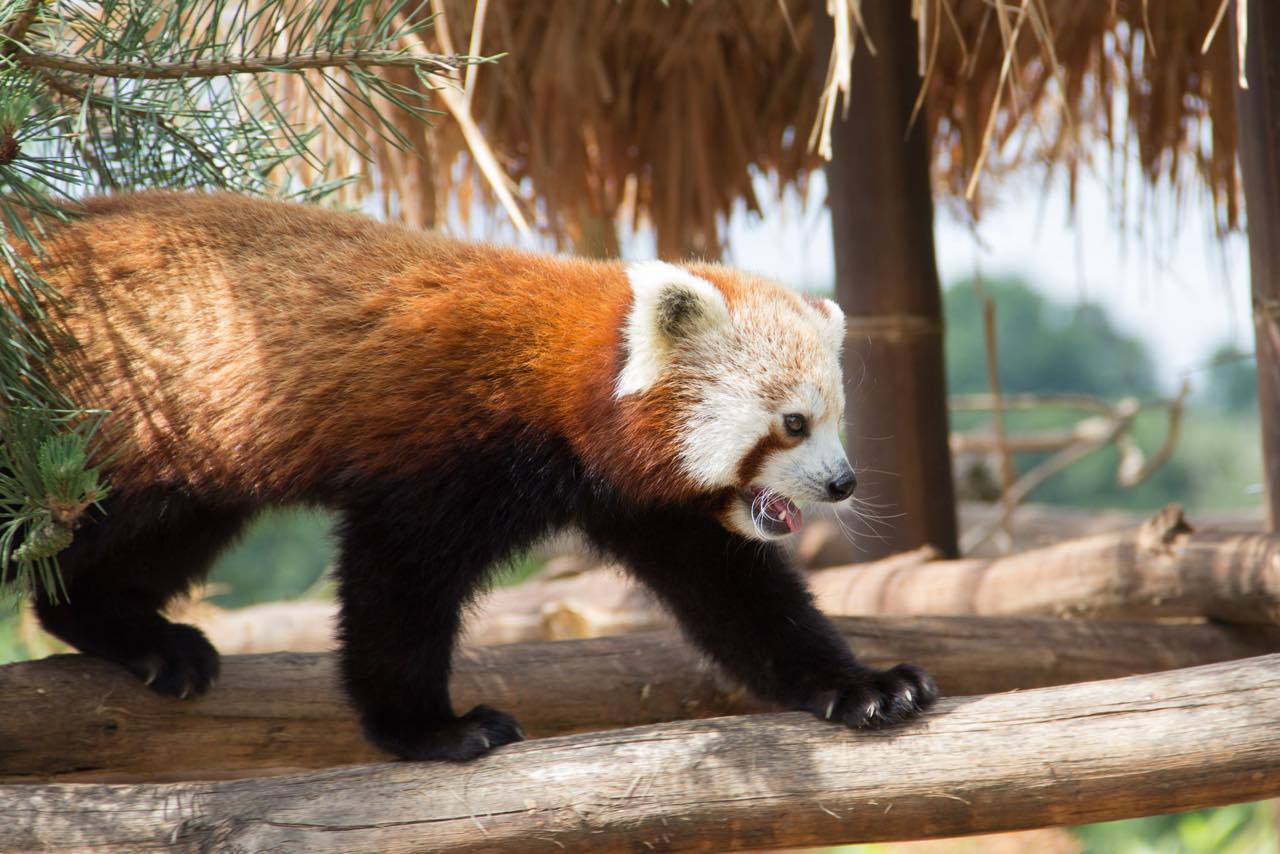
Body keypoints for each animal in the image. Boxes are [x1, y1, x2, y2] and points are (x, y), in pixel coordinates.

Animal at [17, 191, 935, 761]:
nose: (843, 484)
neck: (562, 385)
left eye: (838, 419)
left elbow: (740, 598)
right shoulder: (441, 453)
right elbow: (396, 589)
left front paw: (862, 686)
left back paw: (135, 632)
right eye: (794, 423)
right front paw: (430, 729)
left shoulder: (647, 499)